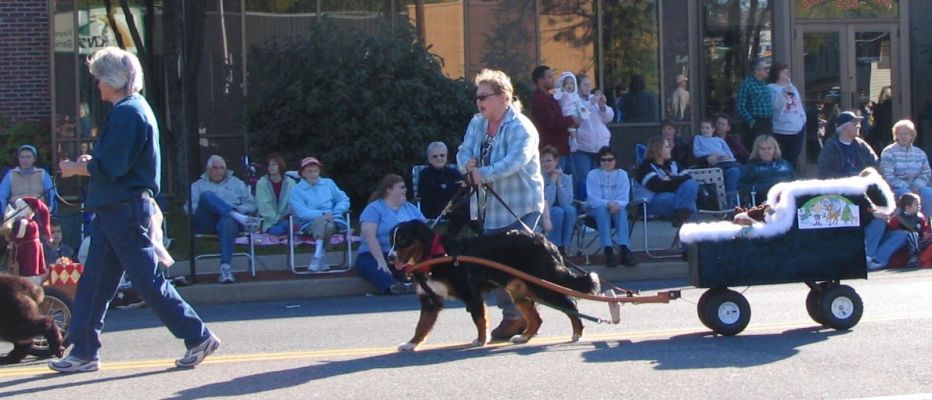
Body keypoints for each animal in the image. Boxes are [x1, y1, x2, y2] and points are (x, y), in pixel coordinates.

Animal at [390, 220, 600, 352]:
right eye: (391, 240)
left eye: (402, 240)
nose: (390, 258)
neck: (433, 255)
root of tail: (546, 242)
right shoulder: (430, 300)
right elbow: (421, 326)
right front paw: (411, 344)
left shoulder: (471, 293)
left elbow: (479, 319)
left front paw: (481, 341)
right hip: (520, 289)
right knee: (536, 318)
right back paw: (524, 337)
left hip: (541, 285)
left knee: (570, 304)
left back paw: (577, 333)